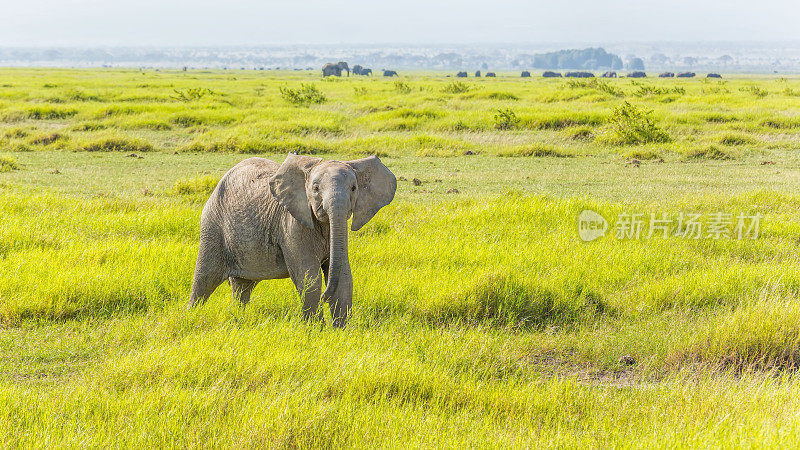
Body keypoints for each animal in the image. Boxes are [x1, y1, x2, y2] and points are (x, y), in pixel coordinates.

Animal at [191, 153, 396, 326]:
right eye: (315, 188)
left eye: (354, 188)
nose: (325, 297)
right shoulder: (292, 225)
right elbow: (310, 277)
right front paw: (317, 330)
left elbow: (344, 277)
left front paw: (341, 331)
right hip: (212, 225)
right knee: (204, 279)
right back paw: (192, 315)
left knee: (242, 286)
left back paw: (239, 316)